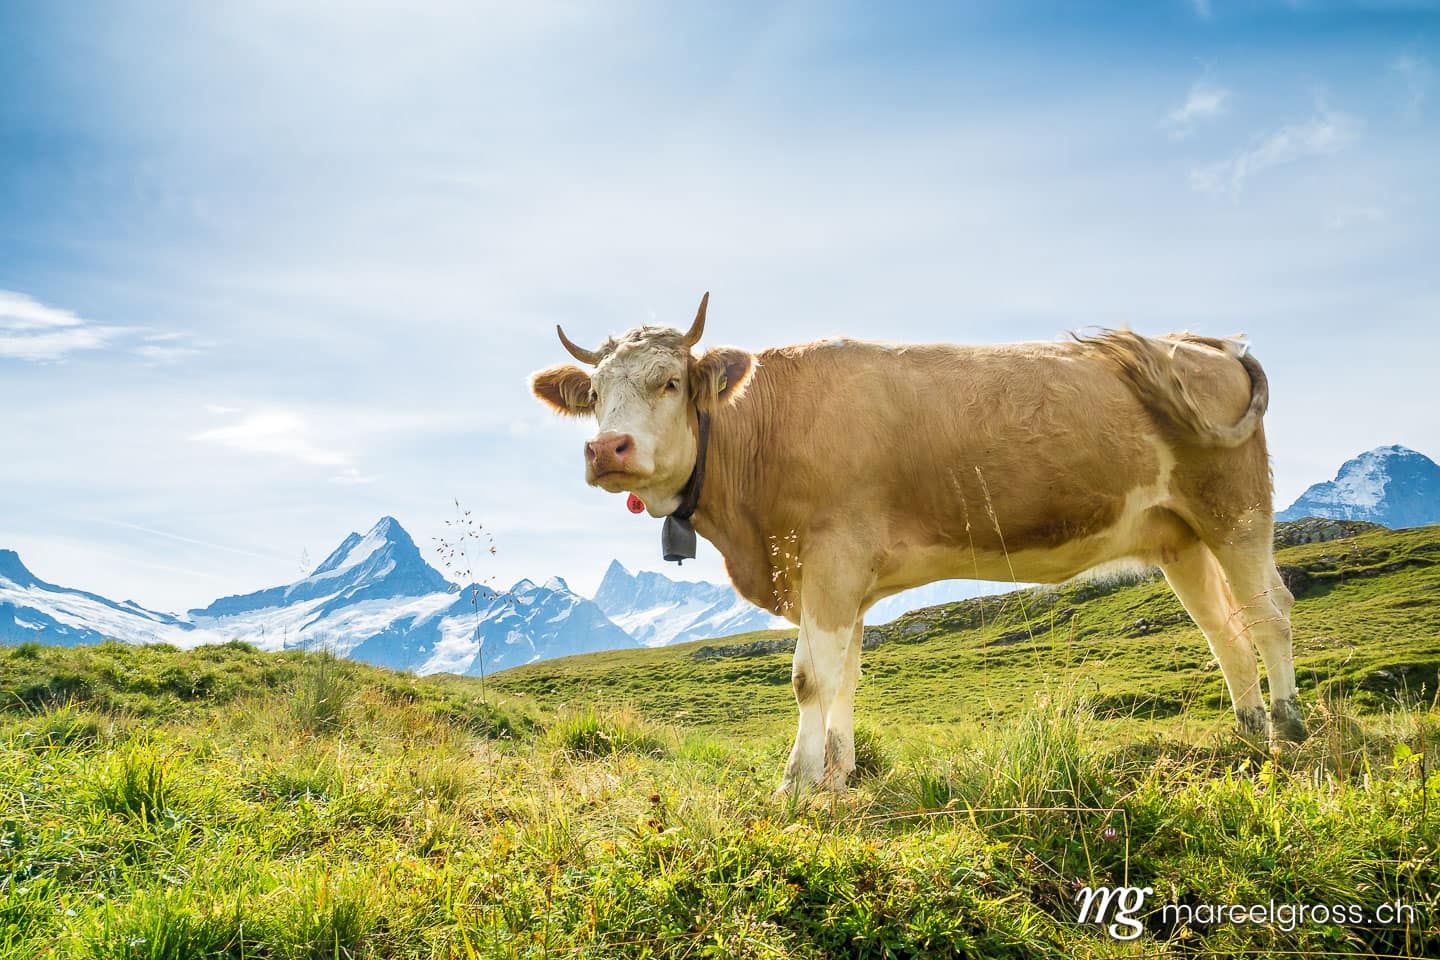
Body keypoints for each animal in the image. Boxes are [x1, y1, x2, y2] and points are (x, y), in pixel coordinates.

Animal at [531, 293, 1307, 793]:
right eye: (594, 394)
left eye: (668, 381)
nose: (606, 449)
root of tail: (1205, 342)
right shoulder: (845, 580)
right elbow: (844, 675)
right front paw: (840, 775)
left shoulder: (832, 560)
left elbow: (809, 676)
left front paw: (795, 784)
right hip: (1180, 536)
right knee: (1222, 628)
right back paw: (1245, 731)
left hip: (1236, 509)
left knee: (1268, 614)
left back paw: (1287, 732)